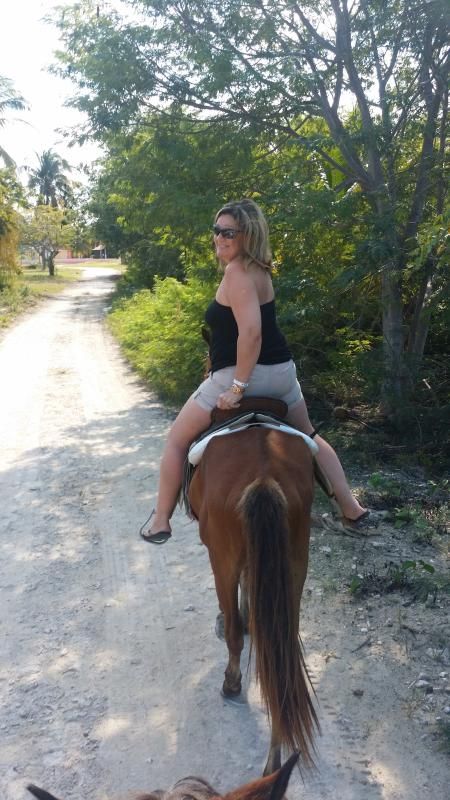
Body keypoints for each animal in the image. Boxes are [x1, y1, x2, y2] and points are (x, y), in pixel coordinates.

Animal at [187, 399, 320, 776]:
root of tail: (264, 474)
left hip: (223, 558)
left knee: (234, 634)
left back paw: (231, 684)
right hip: (294, 566)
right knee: (280, 655)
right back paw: (274, 761)